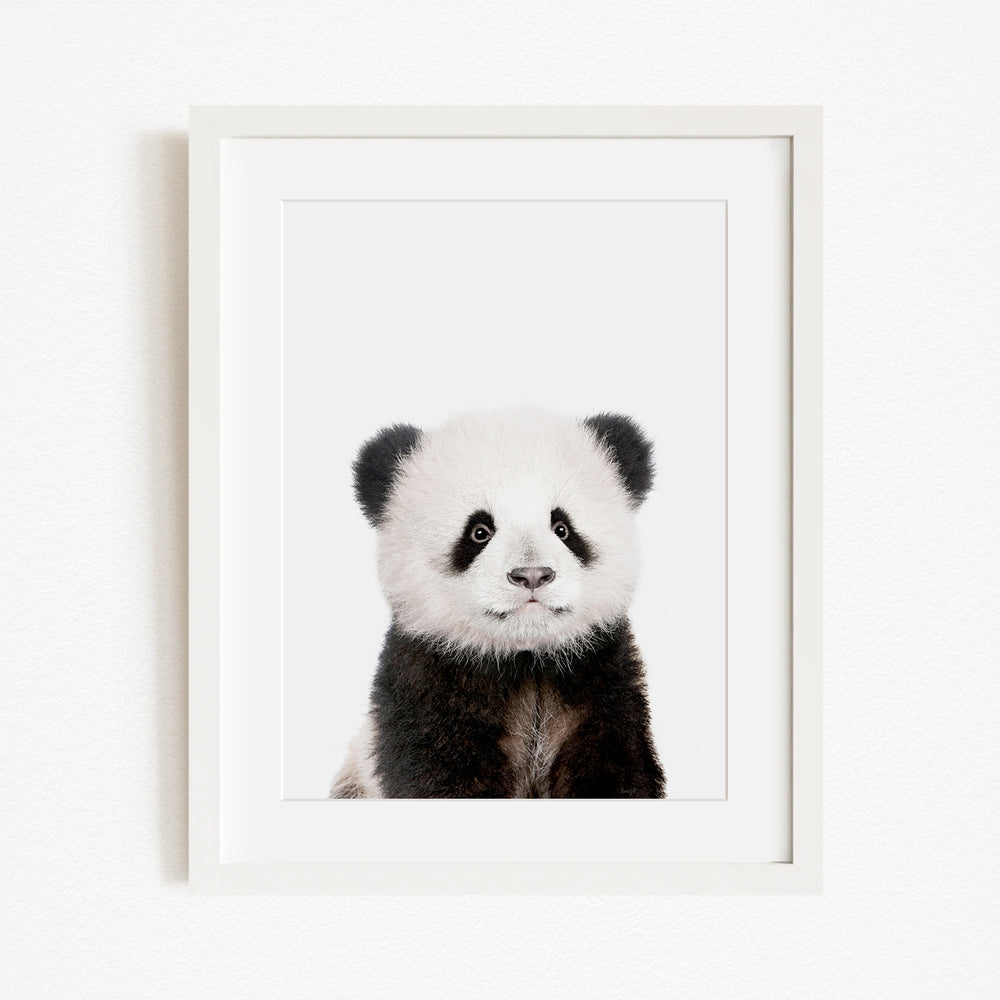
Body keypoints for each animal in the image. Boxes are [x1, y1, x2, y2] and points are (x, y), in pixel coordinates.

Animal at [330, 408, 665, 798]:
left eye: (562, 528)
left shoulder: (601, 677)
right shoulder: (428, 680)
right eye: (479, 532)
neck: (526, 659)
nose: (532, 575)